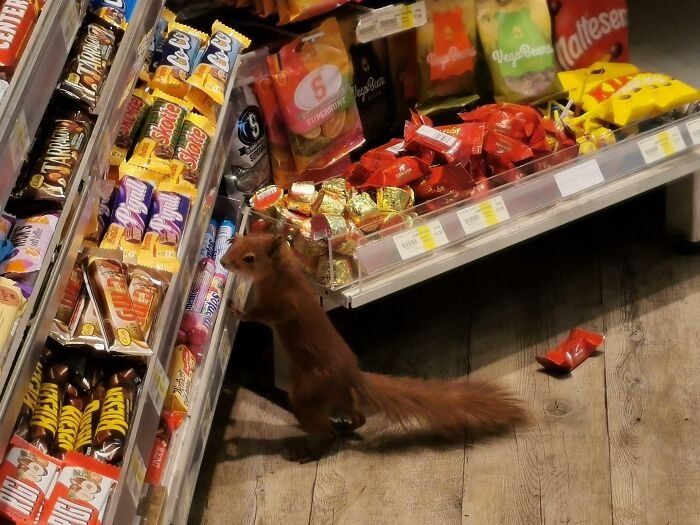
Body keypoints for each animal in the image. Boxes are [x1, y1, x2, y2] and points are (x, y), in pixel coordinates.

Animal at [221, 233, 528, 462]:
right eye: (235, 242)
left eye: (249, 258)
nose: (223, 262)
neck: (284, 274)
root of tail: (352, 375)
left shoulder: (283, 304)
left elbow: (264, 315)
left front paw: (237, 310)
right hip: (339, 396)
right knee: (357, 418)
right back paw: (344, 426)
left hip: (307, 393)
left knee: (329, 431)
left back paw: (311, 450)